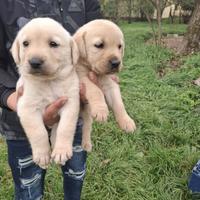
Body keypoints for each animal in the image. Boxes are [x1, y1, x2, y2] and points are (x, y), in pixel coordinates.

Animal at [11, 18, 79, 169]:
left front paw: (61, 151)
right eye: (25, 43)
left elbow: (65, 127)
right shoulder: (26, 107)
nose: (34, 62)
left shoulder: (70, 102)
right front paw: (42, 156)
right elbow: (38, 132)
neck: (49, 82)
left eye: (53, 44)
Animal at [74, 19, 137, 152]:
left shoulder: (111, 84)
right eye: (99, 45)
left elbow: (119, 104)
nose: (116, 62)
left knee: (87, 127)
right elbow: (95, 90)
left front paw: (126, 121)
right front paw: (101, 110)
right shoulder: (81, 78)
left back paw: (86, 144)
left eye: (119, 46)